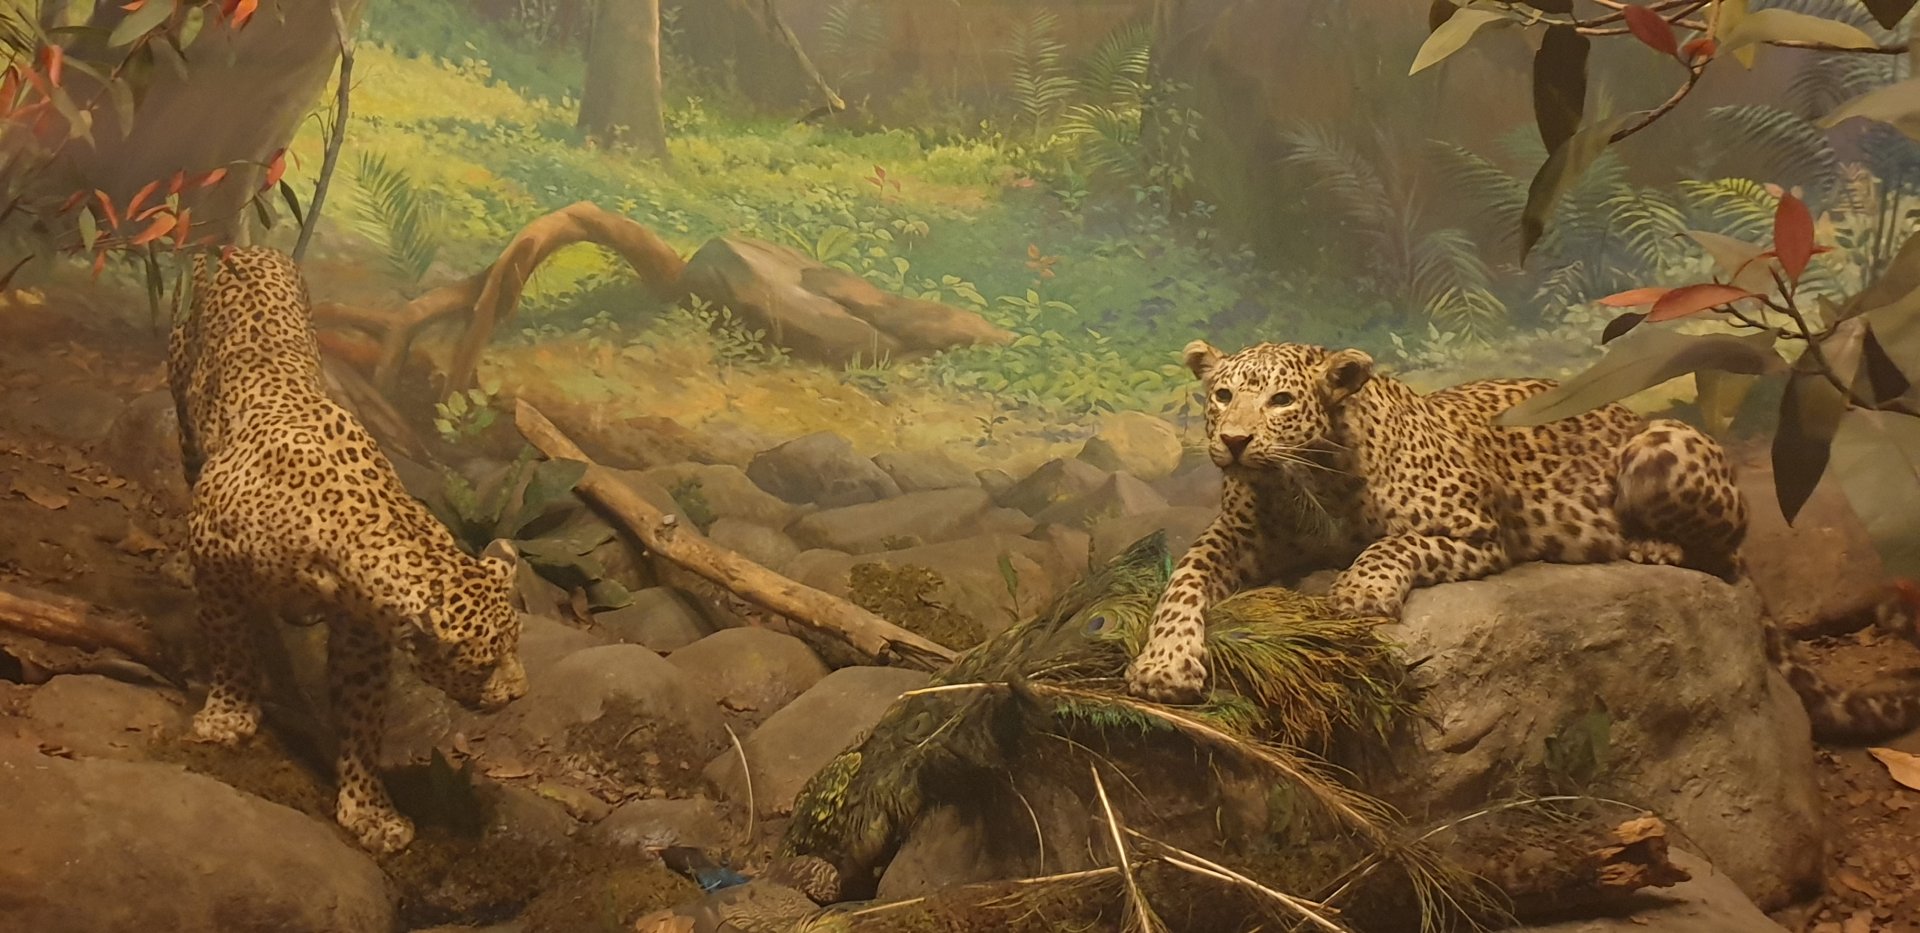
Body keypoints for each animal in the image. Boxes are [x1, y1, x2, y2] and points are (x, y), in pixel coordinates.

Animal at [168, 245, 529, 854]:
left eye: (516, 644)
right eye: (484, 665)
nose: (519, 693)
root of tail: (247, 247)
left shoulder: (362, 635)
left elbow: (363, 720)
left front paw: (370, 810)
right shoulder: (216, 556)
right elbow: (231, 641)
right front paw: (229, 715)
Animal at [1124, 339, 1920, 743]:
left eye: (1283, 399)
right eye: (1223, 395)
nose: (1233, 441)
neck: (1306, 482)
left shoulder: (1480, 529)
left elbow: (1395, 544)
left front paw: (1362, 587)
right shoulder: (1229, 539)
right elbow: (1180, 583)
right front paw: (1164, 664)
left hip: (1663, 446)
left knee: (1722, 554)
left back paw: (1652, 549)